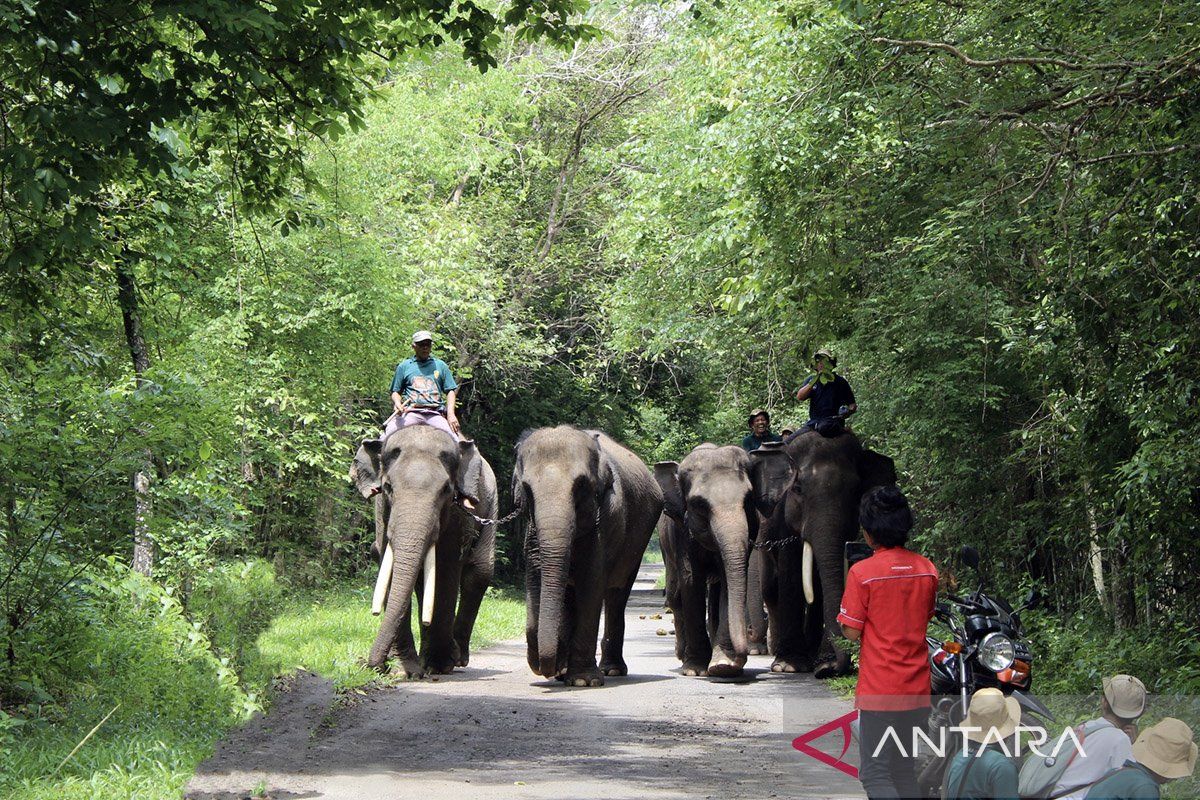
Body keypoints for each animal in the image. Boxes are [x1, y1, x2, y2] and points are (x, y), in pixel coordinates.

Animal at [350, 424, 494, 676]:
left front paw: (438, 666)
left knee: (480, 571)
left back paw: (456, 658)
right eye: (388, 487)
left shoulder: (457, 514)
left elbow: (445, 568)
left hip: (492, 503)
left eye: (446, 490)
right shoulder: (382, 512)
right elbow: (388, 562)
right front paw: (405, 671)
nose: (372, 665)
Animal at [513, 424, 667, 690]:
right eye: (527, 490)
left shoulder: (607, 517)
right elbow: (536, 576)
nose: (545, 667)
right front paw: (559, 669)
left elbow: (591, 583)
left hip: (637, 544)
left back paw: (611, 670)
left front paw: (583, 681)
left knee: (617, 594)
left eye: (581, 486)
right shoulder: (531, 529)